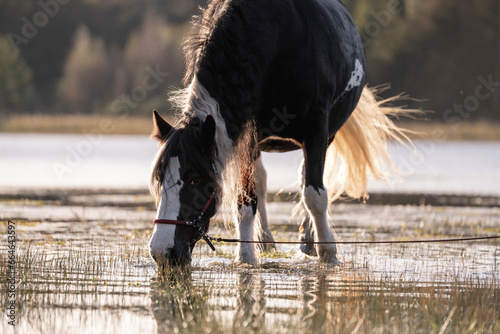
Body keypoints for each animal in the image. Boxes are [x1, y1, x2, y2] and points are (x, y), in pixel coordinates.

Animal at [147, 0, 410, 266]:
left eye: (194, 179)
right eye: (159, 178)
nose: (162, 252)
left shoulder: (317, 131)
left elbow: (315, 195)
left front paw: (328, 252)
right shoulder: (248, 138)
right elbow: (245, 200)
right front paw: (246, 256)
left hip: (327, 137)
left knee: (308, 180)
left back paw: (309, 240)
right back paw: (265, 239)